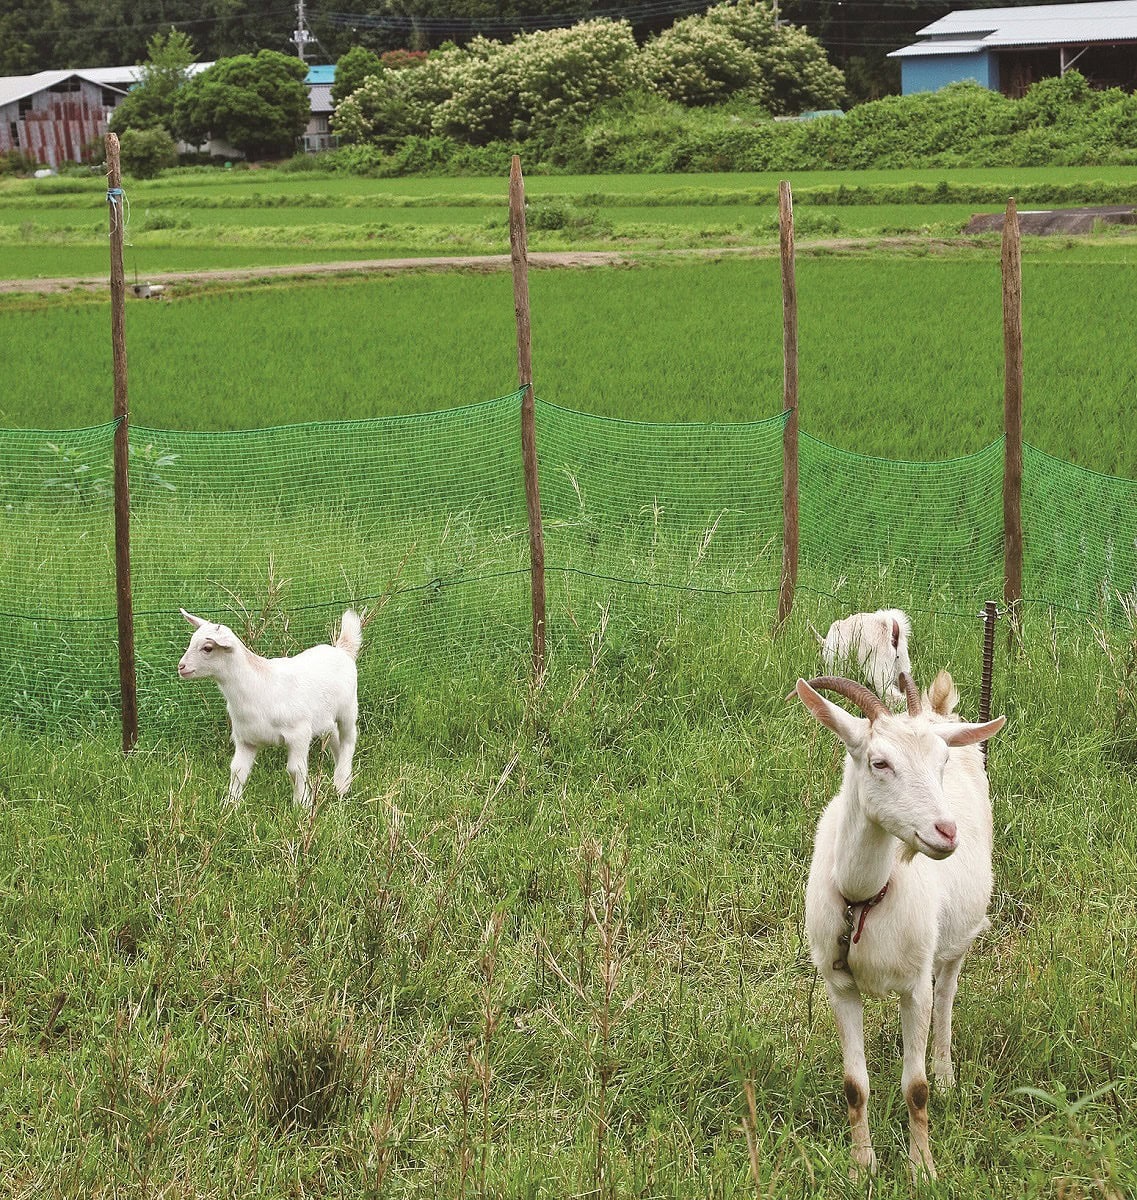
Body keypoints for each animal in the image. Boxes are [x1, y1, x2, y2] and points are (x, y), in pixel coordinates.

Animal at [791, 676, 1002, 1180]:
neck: (863, 898)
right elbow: (854, 1084)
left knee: (948, 992)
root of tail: (940, 713)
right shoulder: (839, 986)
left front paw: (922, 1168)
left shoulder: (914, 985)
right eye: (879, 762)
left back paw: (945, 1072)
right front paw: (860, 1167)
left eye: (941, 762)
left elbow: (915, 1087)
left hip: (957, 936)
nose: (946, 831)